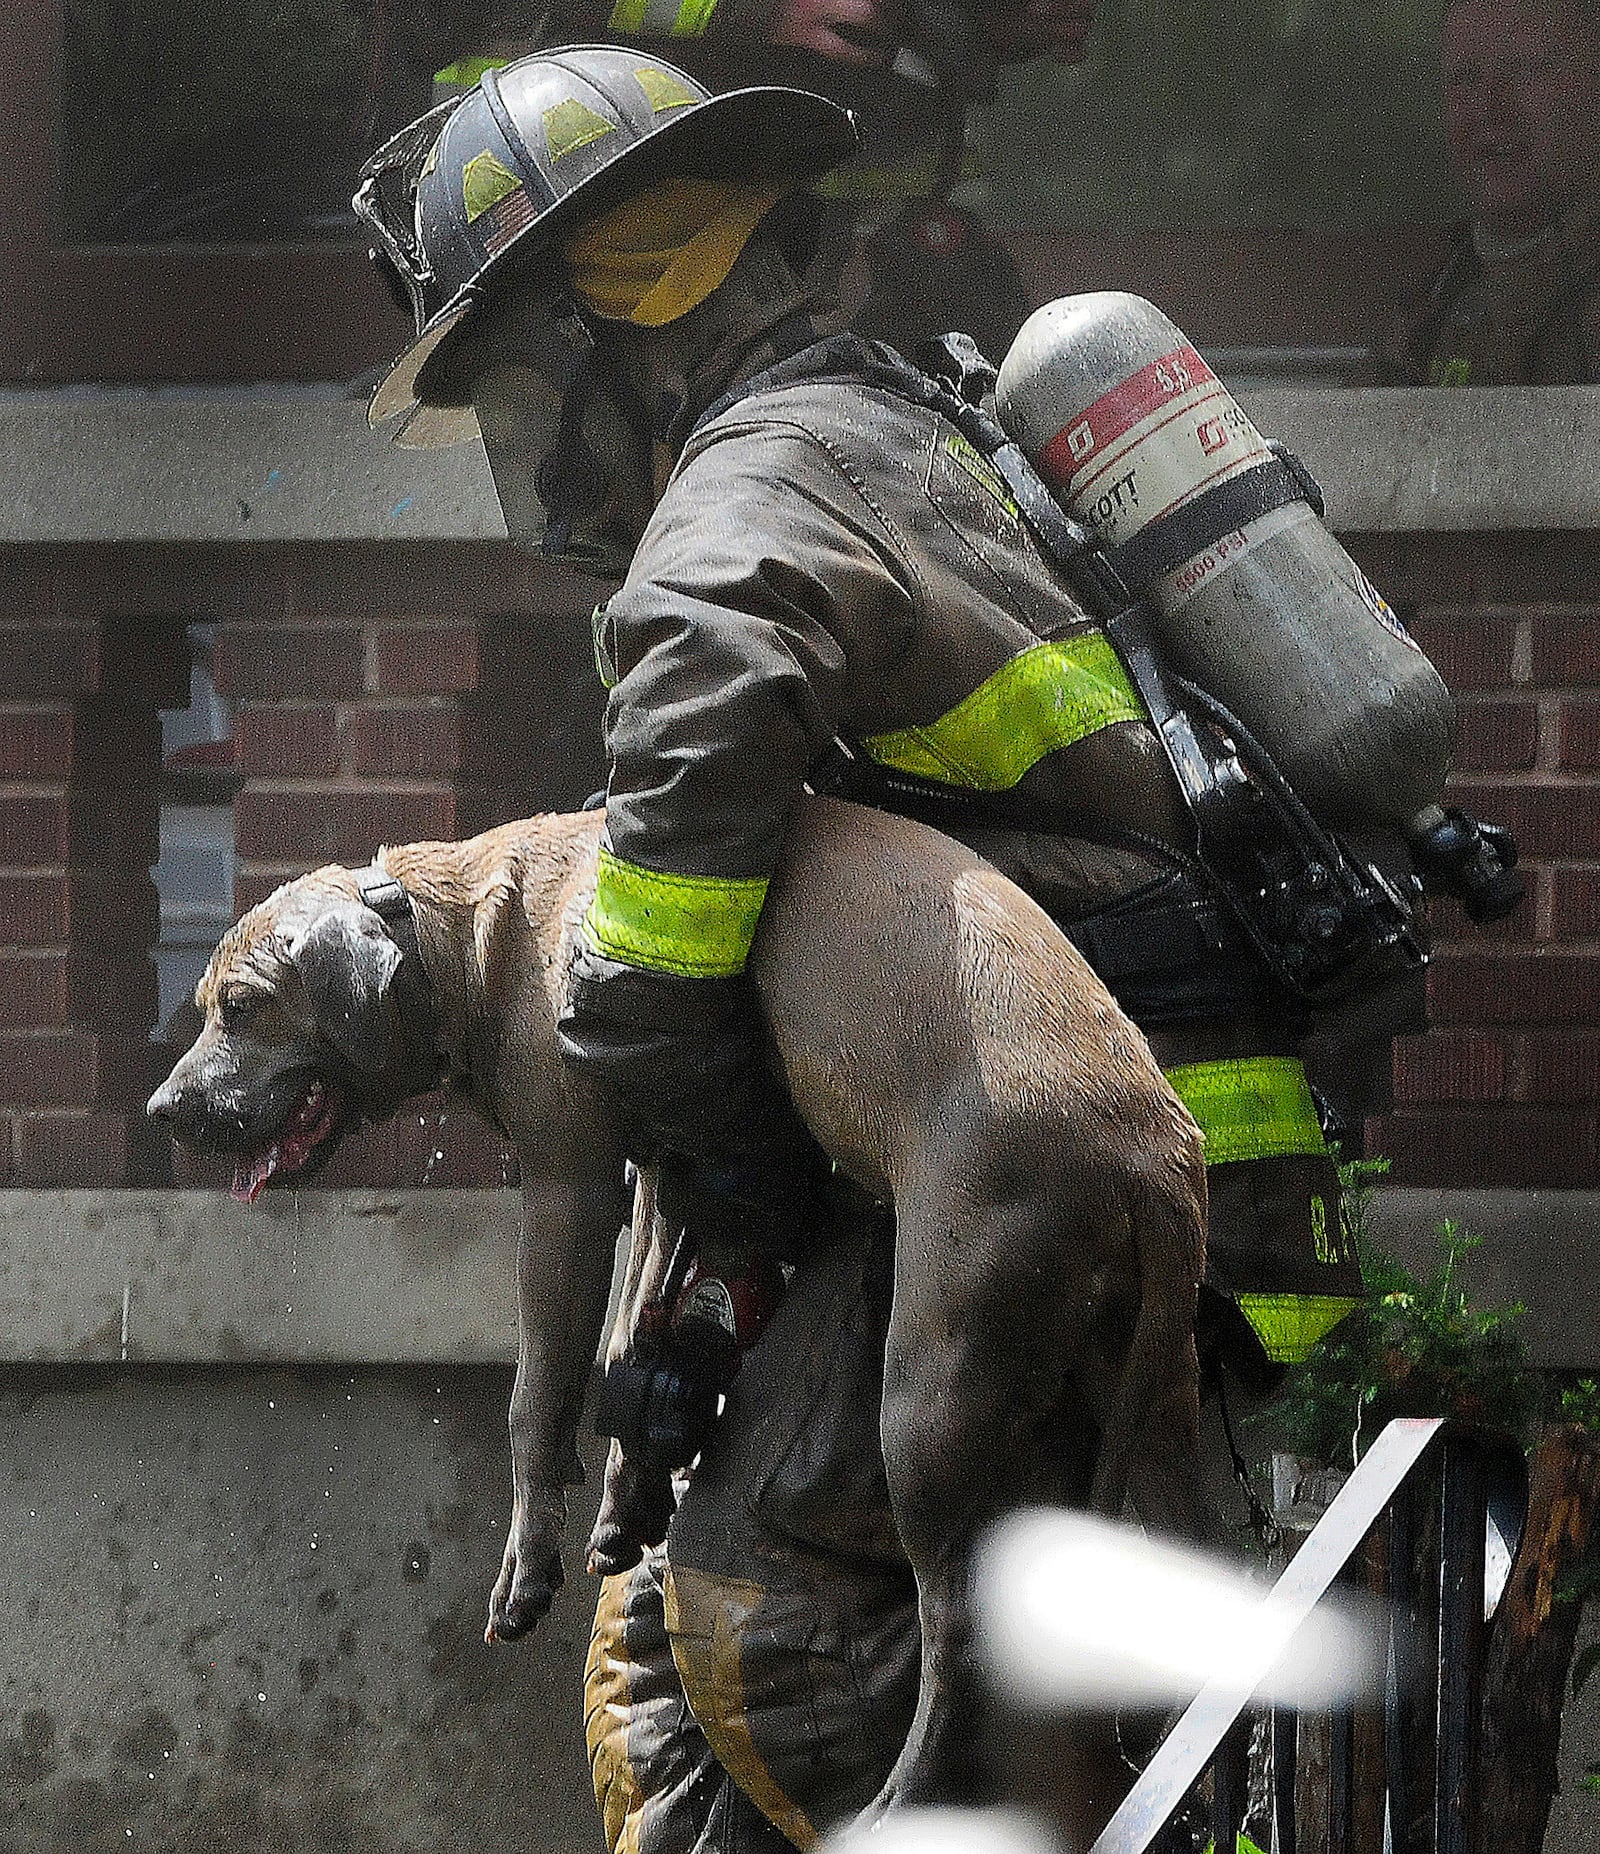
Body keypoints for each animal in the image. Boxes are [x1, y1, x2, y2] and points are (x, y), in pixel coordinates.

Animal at [152, 797, 1201, 1809]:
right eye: (208, 1006)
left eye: (242, 1007)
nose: (163, 1110)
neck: (465, 937)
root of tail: (1154, 1161)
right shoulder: (665, 1172)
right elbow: (630, 1344)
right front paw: (626, 1500)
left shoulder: (567, 1188)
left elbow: (538, 1395)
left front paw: (527, 1567)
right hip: (1150, 1394)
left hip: (934, 1393)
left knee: (954, 1625)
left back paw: (906, 1792)